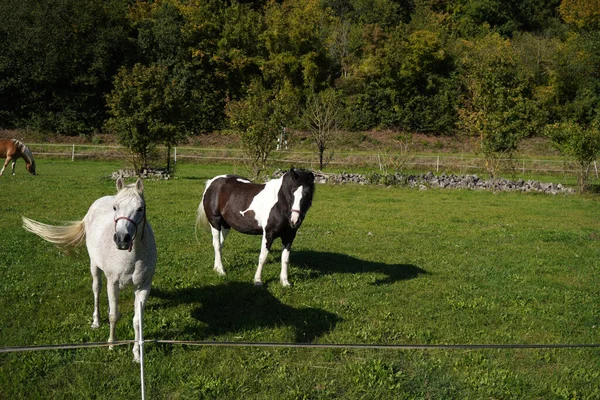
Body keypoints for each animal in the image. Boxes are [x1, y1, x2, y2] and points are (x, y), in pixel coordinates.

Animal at [22, 178, 156, 362]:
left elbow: (137, 321)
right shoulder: (112, 283)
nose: (122, 239)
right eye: (115, 207)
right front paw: (111, 344)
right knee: (96, 290)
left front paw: (137, 354)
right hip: (94, 266)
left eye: (140, 208)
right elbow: (113, 315)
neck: (134, 255)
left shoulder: (143, 287)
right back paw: (96, 322)